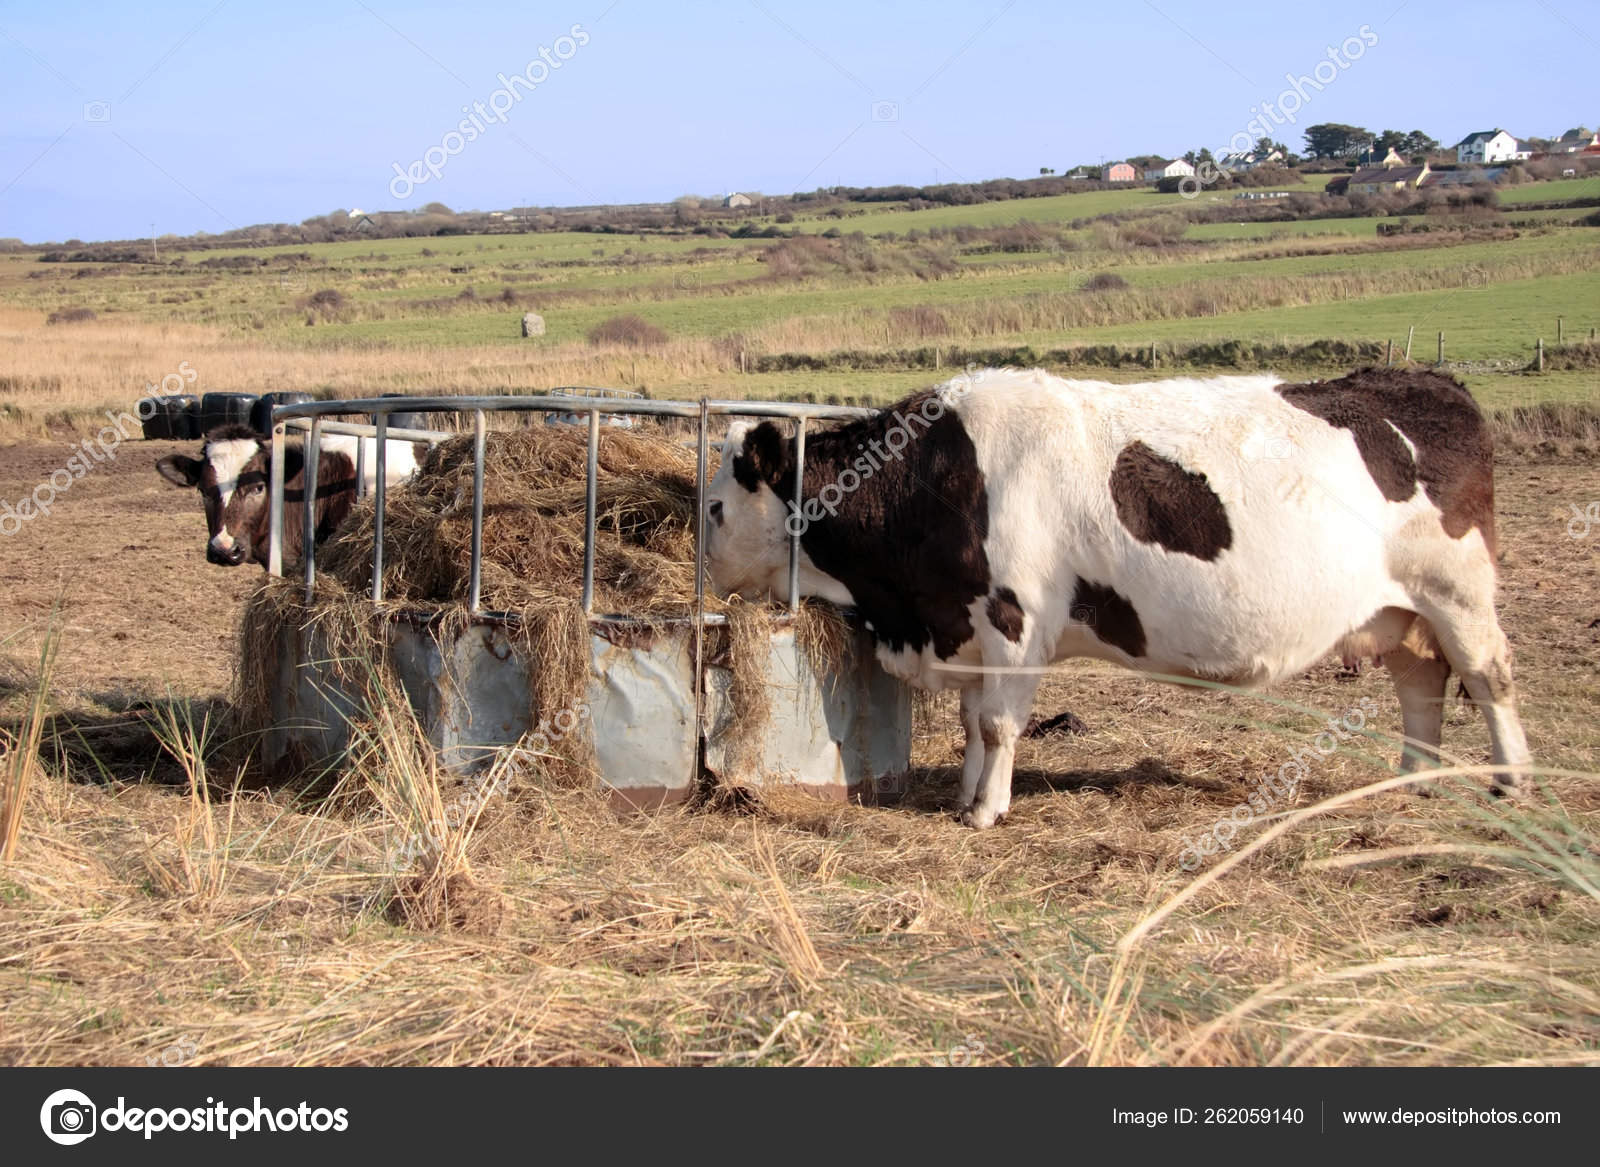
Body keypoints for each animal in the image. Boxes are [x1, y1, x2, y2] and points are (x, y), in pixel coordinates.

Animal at [707, 366, 1529, 826]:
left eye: (715, 508)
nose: (706, 571)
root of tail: (1428, 381)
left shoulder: (1014, 623)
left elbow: (1000, 726)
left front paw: (987, 811)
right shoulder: (968, 628)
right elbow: (974, 724)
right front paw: (967, 794)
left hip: (1458, 592)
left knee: (1490, 677)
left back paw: (1510, 781)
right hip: (1402, 610)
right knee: (1421, 685)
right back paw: (1413, 781)